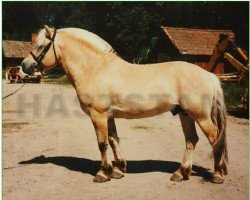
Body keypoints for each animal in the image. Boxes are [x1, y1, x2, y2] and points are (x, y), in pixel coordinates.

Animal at [22, 25, 228, 184]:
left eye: (42, 46)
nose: (25, 66)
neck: (97, 69)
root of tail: (209, 75)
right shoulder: (108, 116)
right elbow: (114, 140)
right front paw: (119, 170)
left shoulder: (98, 115)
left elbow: (102, 144)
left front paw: (102, 173)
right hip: (185, 114)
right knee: (191, 140)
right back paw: (180, 173)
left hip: (200, 116)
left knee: (215, 138)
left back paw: (217, 175)